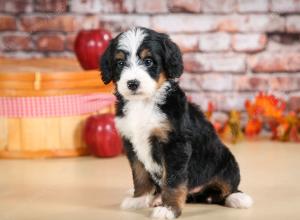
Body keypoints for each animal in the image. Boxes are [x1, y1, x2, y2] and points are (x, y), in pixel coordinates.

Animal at [99, 26, 252, 219]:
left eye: (148, 61)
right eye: (119, 63)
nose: (132, 83)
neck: (144, 103)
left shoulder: (175, 144)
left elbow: (173, 180)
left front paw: (169, 209)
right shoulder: (131, 143)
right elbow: (139, 174)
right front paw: (139, 198)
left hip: (227, 161)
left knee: (225, 188)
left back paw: (238, 198)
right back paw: (155, 197)